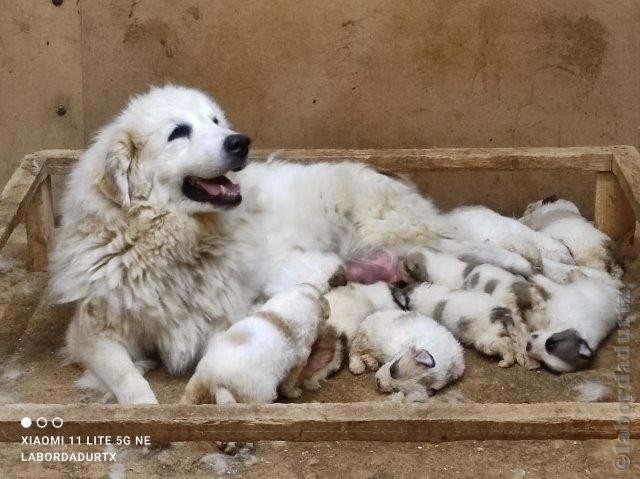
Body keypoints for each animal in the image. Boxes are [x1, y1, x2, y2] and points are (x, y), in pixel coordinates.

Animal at [181, 284, 328, 404]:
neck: (299, 296)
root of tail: (216, 381)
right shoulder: (298, 363)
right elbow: (289, 383)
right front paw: (294, 393)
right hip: (259, 394)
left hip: (197, 380)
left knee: (190, 395)